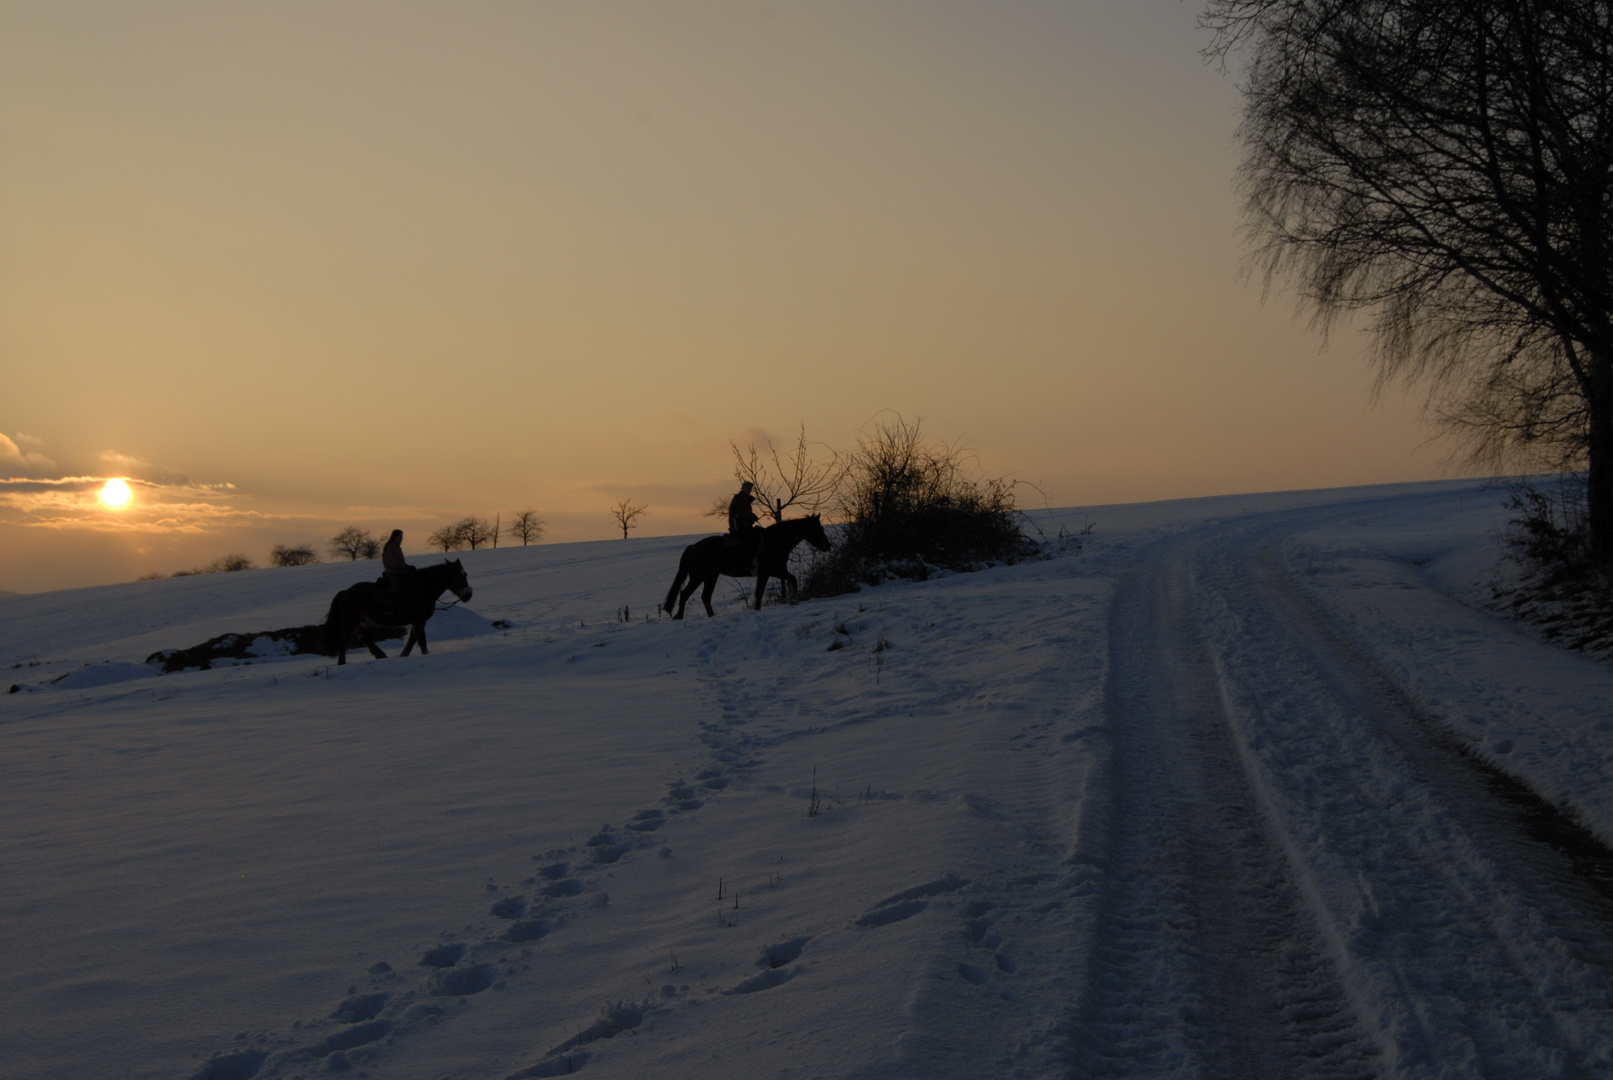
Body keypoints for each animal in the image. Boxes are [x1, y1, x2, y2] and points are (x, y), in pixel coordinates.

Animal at [320, 564, 470, 664]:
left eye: (466, 575)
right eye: (457, 576)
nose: (468, 594)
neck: (421, 589)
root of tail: (345, 592)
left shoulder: (419, 621)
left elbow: (412, 640)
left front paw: (403, 655)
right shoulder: (418, 621)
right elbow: (421, 640)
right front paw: (425, 654)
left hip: (371, 623)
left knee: (366, 639)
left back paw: (381, 656)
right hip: (350, 622)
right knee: (344, 641)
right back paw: (342, 663)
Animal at [661, 519, 832, 622]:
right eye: (818, 529)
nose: (827, 545)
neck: (775, 540)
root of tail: (693, 547)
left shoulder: (771, 572)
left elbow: (774, 586)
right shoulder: (771, 571)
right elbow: (766, 589)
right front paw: (793, 600)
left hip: (711, 576)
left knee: (705, 597)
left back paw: (711, 616)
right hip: (698, 576)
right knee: (685, 594)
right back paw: (678, 616)